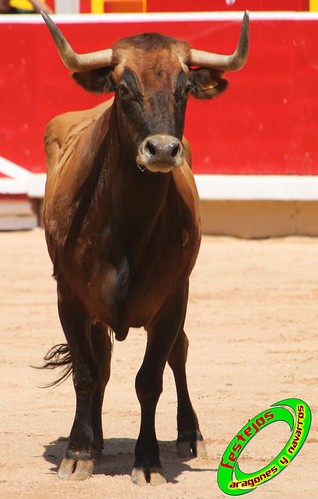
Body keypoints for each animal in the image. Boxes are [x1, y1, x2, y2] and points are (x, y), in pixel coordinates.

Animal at [41, 11, 248, 486]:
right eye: (123, 89)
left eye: (185, 89)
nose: (163, 150)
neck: (126, 225)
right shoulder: (69, 298)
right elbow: (86, 373)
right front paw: (77, 453)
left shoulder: (173, 299)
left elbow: (150, 379)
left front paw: (149, 460)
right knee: (101, 364)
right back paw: (95, 440)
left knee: (178, 354)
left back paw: (190, 434)